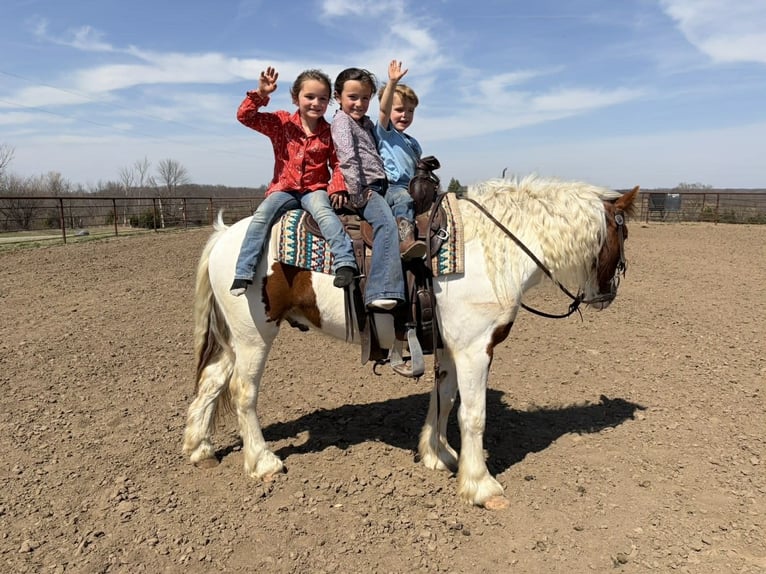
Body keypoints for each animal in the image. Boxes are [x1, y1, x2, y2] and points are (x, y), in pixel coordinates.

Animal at [182, 175, 639, 508]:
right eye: (624, 235)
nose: (609, 294)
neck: (492, 250)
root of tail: (224, 236)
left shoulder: (450, 347)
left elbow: (444, 400)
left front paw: (438, 456)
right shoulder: (476, 349)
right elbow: (473, 415)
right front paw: (480, 484)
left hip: (237, 339)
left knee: (212, 381)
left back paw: (201, 448)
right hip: (254, 335)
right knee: (243, 391)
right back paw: (262, 462)